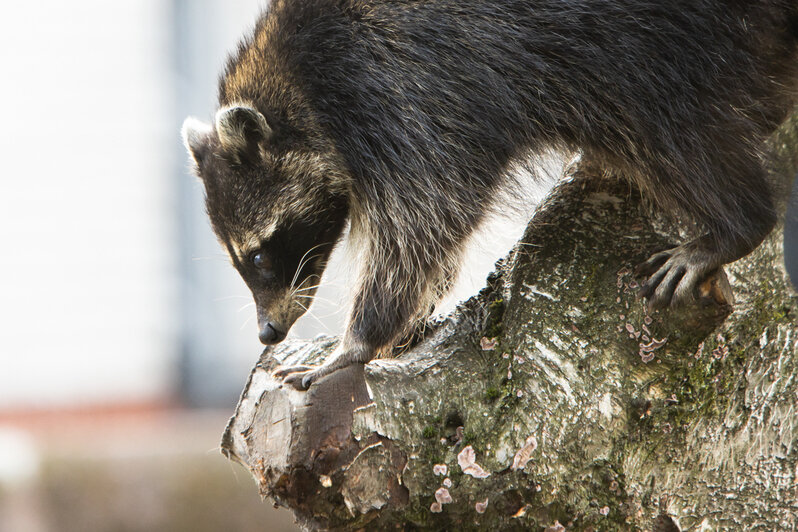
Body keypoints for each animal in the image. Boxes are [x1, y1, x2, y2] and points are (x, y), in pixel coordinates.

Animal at [183, 1, 798, 390]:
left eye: (259, 256)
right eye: (243, 260)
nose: (267, 331)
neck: (300, 82)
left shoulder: (405, 83)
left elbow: (427, 215)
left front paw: (360, 338)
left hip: (657, 41)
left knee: (669, 129)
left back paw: (737, 223)